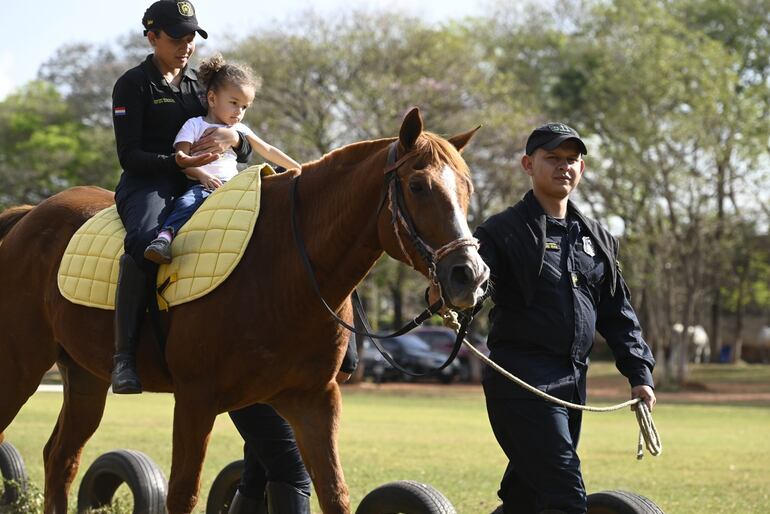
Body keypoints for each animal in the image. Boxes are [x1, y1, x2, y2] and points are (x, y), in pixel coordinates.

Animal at [0, 106, 486, 510]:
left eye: (467, 189)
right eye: (419, 186)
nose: (471, 275)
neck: (285, 263)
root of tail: (28, 217)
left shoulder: (310, 401)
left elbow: (328, 491)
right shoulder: (195, 399)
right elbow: (183, 493)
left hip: (84, 377)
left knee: (61, 459)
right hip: (20, 369)